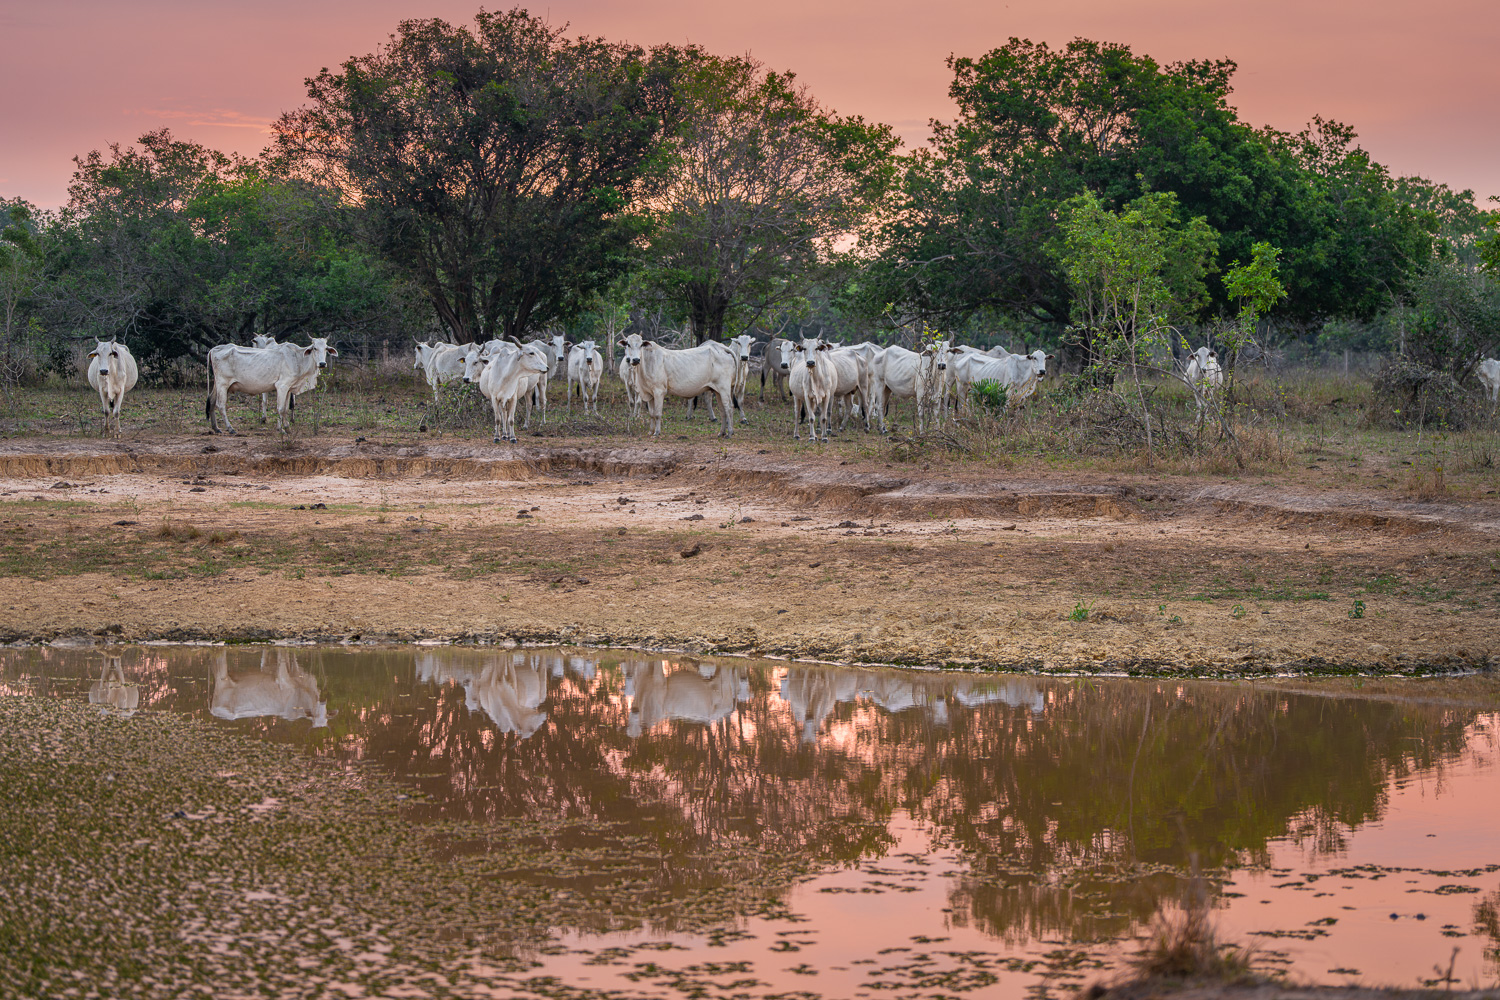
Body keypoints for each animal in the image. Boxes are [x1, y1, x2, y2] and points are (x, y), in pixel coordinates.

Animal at [206, 337, 336, 435]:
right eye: (314, 348)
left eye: (326, 348)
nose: (322, 363)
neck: (298, 359)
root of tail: (214, 349)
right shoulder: (282, 386)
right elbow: (280, 408)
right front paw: (281, 430)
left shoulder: (288, 389)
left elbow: (285, 409)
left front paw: (287, 427)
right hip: (223, 384)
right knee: (220, 405)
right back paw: (230, 428)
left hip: (217, 385)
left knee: (211, 401)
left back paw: (216, 428)